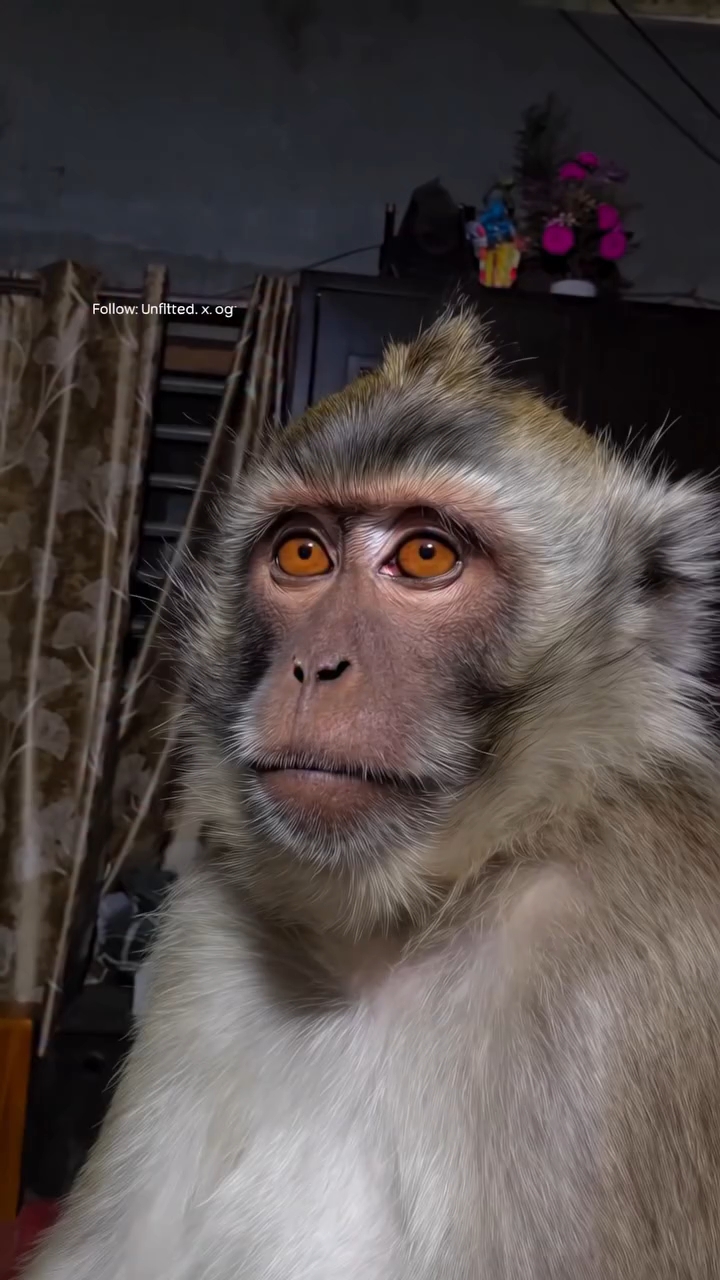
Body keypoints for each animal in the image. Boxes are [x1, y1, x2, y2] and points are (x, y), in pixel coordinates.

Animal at [24, 307, 720, 1280]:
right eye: (302, 552)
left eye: (425, 555)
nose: (317, 665)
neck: (396, 925)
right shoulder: (208, 941)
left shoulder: (621, 990)